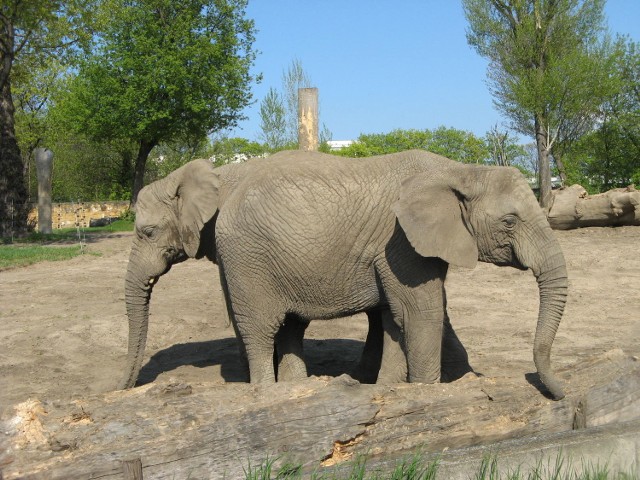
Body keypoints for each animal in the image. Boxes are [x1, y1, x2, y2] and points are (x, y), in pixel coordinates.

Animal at [216, 148, 568, 400]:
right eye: (509, 222)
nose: (560, 394)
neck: (461, 170)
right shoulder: (400, 244)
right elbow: (422, 315)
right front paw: (426, 390)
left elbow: (397, 320)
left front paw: (388, 389)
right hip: (247, 261)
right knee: (261, 331)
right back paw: (266, 391)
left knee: (290, 327)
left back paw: (293, 387)